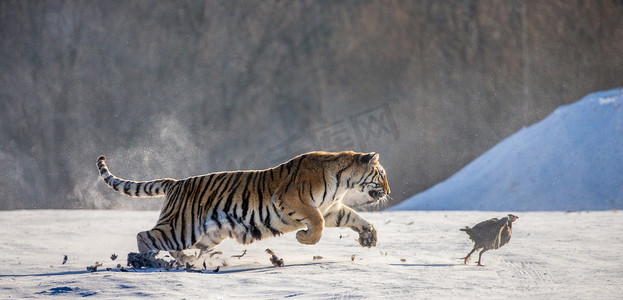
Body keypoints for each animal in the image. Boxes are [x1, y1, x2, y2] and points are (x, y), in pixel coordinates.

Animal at [97, 151, 390, 264]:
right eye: (382, 174)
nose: (388, 191)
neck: (344, 181)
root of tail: (176, 182)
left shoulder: (331, 209)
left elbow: (355, 217)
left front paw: (370, 237)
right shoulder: (294, 200)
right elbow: (315, 223)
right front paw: (303, 237)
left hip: (206, 234)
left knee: (178, 248)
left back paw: (188, 262)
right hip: (182, 227)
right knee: (144, 235)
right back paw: (146, 261)